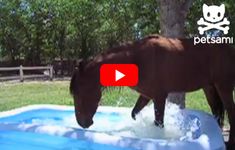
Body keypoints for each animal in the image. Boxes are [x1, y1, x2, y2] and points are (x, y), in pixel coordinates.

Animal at [70, 34, 235, 148]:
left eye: (79, 93)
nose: (82, 123)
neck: (138, 59)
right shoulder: (146, 96)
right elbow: (135, 114)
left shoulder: (159, 97)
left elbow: (159, 123)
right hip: (209, 88)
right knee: (217, 113)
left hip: (224, 87)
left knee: (231, 111)